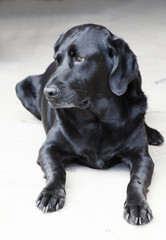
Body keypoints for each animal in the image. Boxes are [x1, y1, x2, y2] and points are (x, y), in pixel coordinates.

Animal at [15, 23, 163, 224]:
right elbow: (57, 171)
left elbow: (136, 181)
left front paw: (137, 205)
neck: (97, 119)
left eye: (79, 58)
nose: (48, 92)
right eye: (57, 60)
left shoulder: (142, 157)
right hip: (22, 85)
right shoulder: (48, 148)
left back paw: (152, 133)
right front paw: (51, 193)